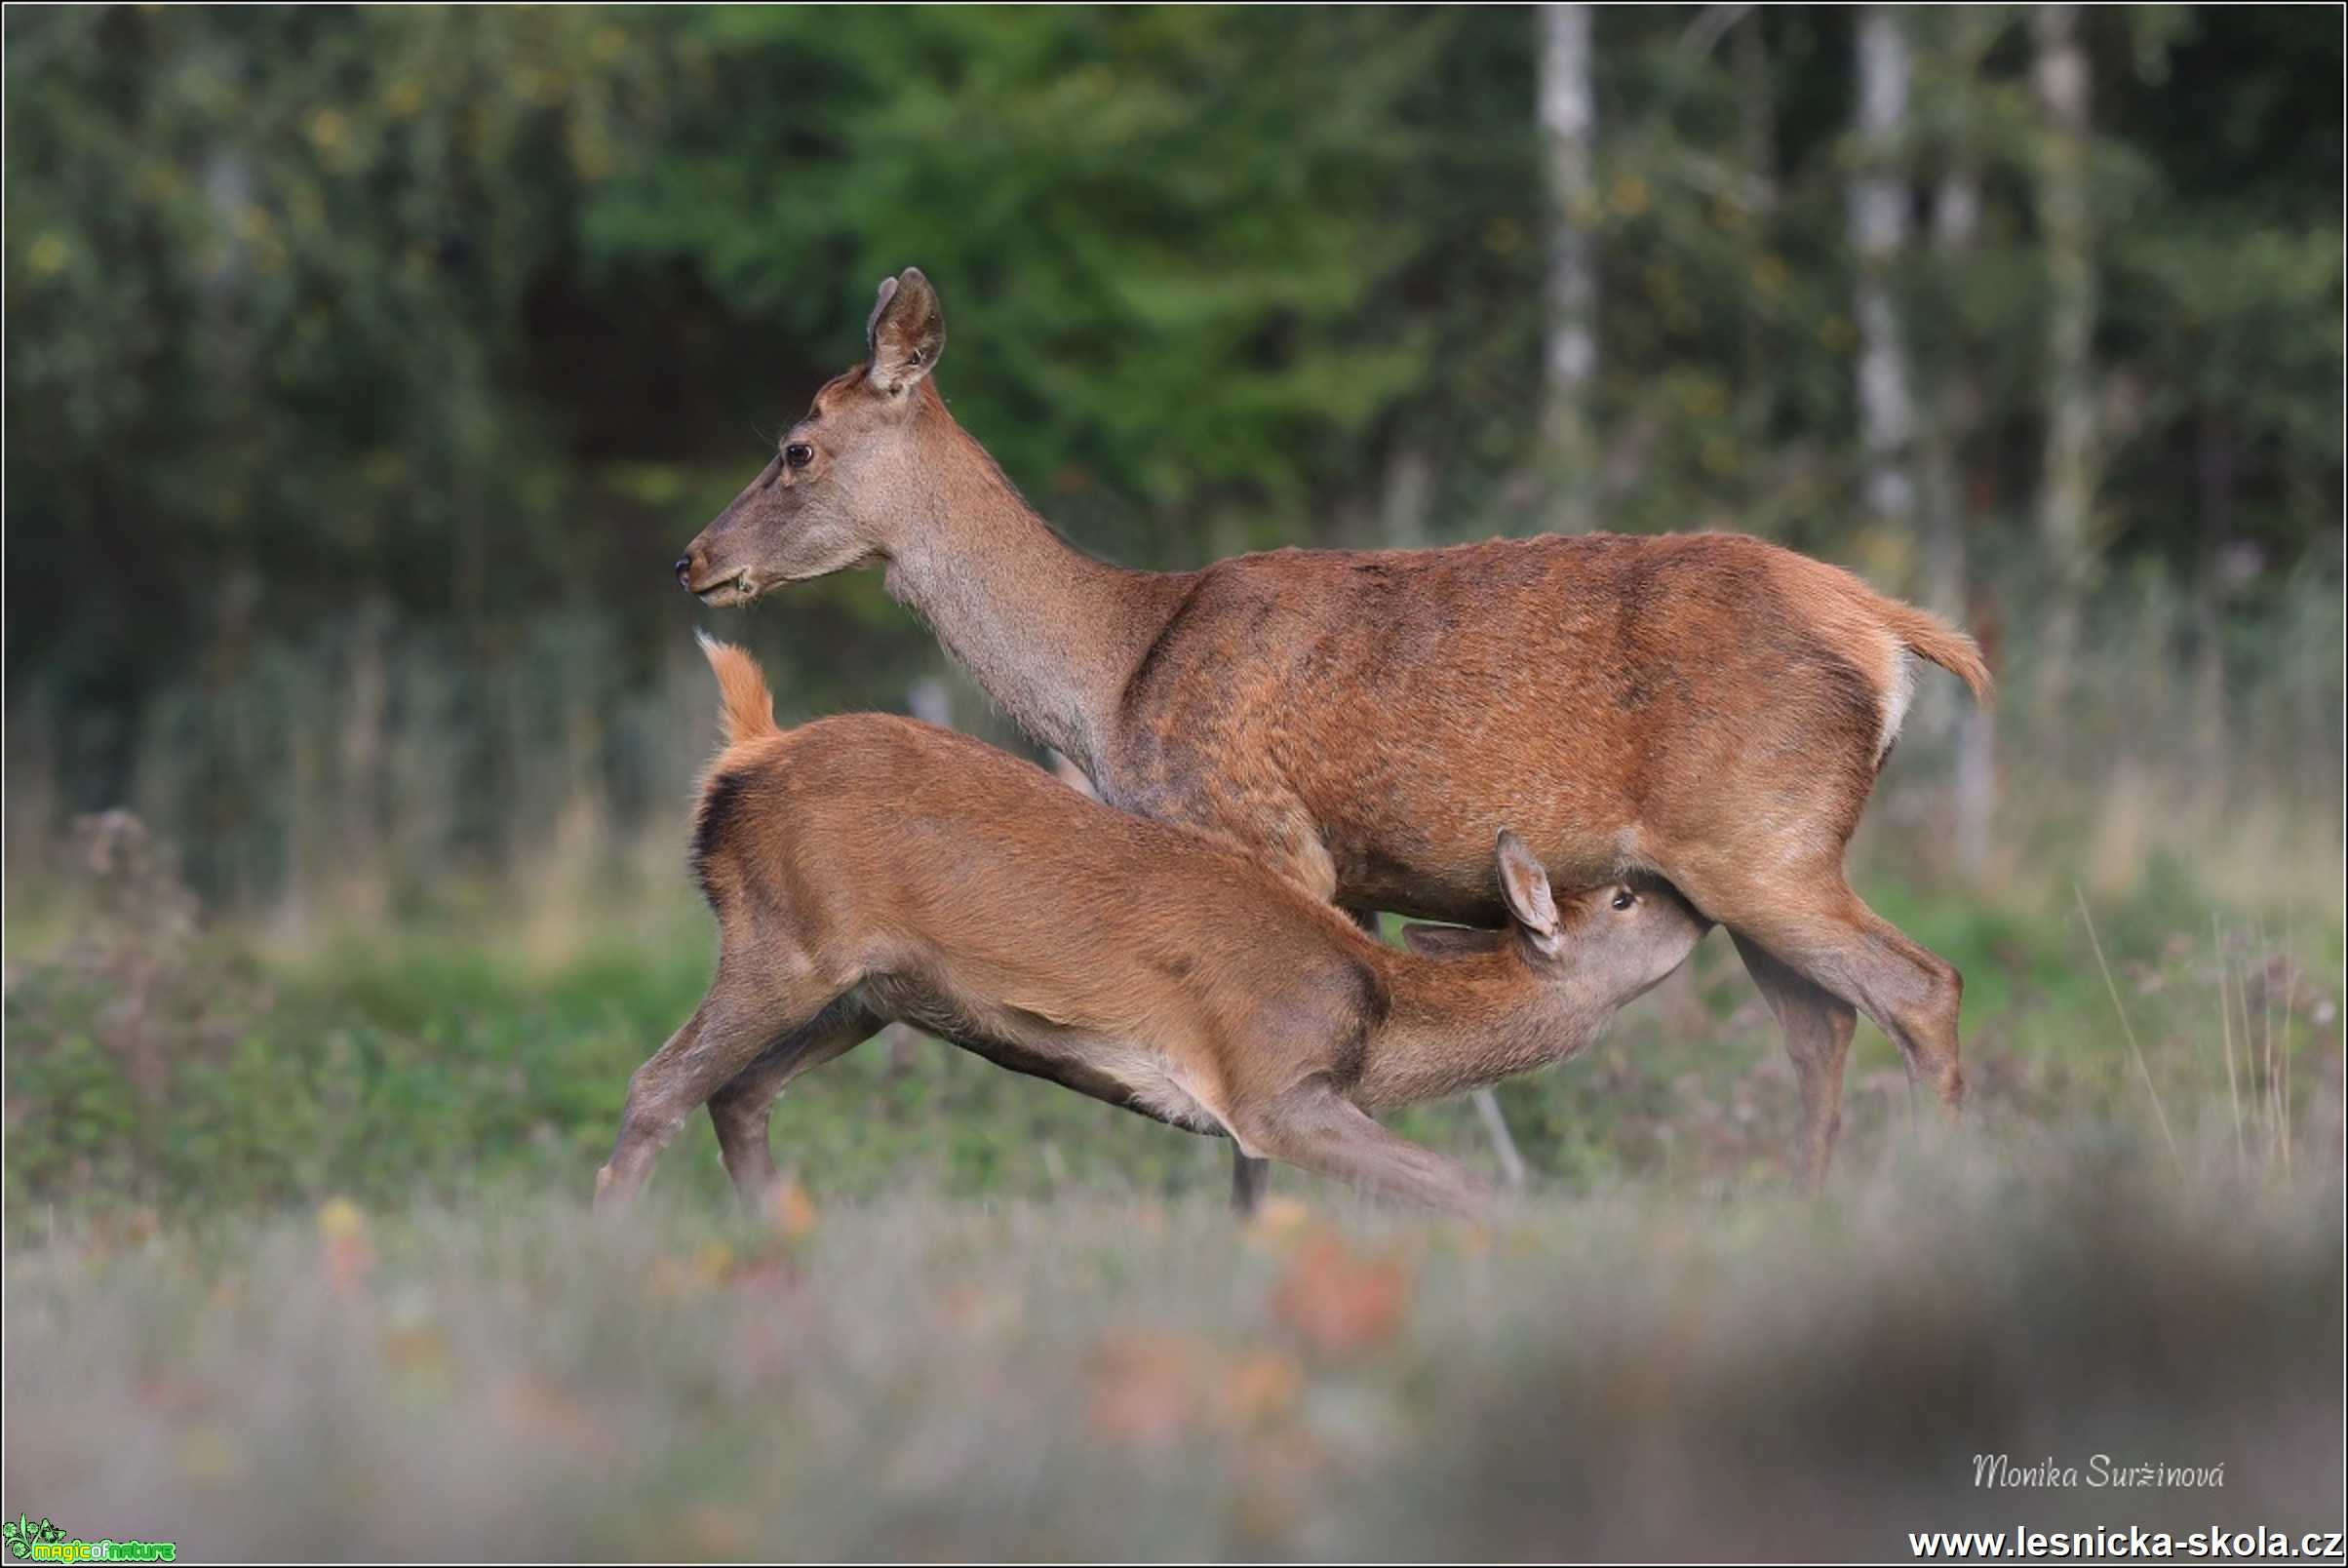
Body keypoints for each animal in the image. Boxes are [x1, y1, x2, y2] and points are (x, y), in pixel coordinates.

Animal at [591, 633, 1709, 1211]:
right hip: (785, 938)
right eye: (1622, 898)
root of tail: (748, 750)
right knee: (657, 1087)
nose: (1694, 902)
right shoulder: (1270, 1082)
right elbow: (1459, 1181)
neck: (1381, 1016)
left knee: (737, 1095)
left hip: (870, 994)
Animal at [676, 269, 1981, 1183]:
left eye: (794, 450)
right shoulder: (1336, 874)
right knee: (1822, 1026)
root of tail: (1884, 628)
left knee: (1916, 987)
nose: (691, 559)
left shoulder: (1259, 832)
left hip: (1762, 839)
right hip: (1745, 863)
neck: (1112, 675)